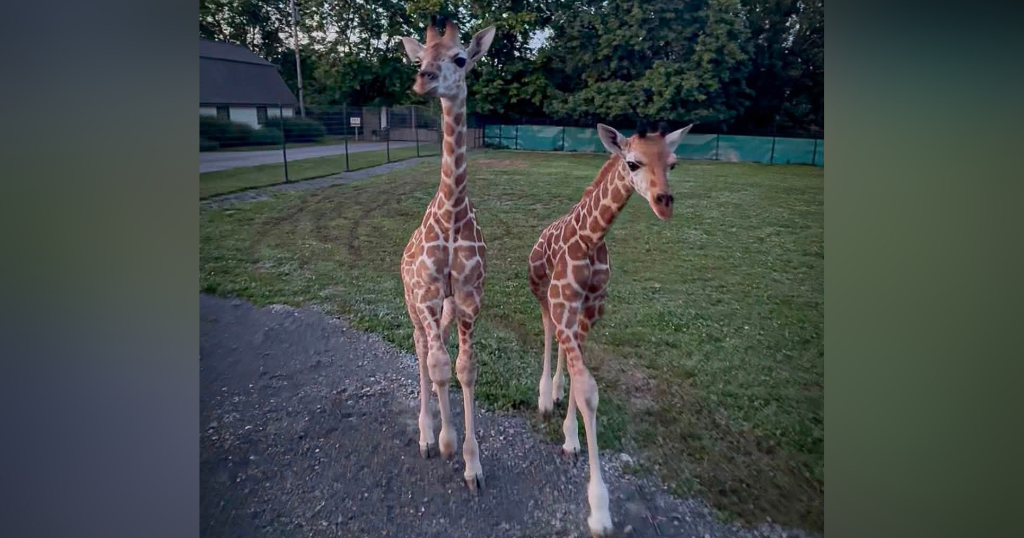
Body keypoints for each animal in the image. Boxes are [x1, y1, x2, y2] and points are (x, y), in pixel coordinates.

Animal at [528, 122, 693, 536]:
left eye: (673, 163)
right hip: (542, 293)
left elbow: (580, 380)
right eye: (632, 162)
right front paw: (600, 511)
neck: (591, 239)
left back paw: (555, 393)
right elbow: (588, 390)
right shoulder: (564, 306)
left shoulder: (589, 314)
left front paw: (571, 439)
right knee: (547, 329)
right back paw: (543, 397)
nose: (664, 204)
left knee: (561, 345)